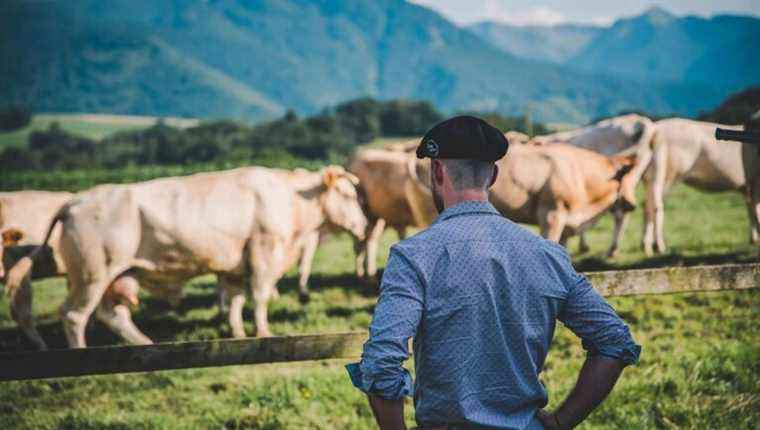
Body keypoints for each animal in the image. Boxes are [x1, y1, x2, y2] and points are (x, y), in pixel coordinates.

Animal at [5, 166, 368, 348]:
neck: (291, 201)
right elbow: (260, 297)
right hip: (92, 274)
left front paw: (237, 334)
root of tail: (75, 200)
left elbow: (236, 300)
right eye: (348, 194)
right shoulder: (265, 252)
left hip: (115, 276)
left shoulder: (235, 264)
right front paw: (264, 333)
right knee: (74, 316)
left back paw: (145, 344)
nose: (364, 224)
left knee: (113, 315)